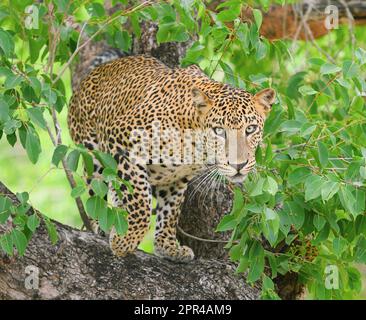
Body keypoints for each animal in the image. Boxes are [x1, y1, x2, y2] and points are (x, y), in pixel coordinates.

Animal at [67, 53, 276, 262]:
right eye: (219, 131)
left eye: (250, 129)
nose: (238, 165)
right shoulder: (123, 141)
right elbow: (141, 204)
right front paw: (124, 241)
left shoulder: (177, 177)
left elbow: (170, 211)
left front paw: (167, 246)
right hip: (93, 154)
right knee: (97, 189)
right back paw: (101, 222)